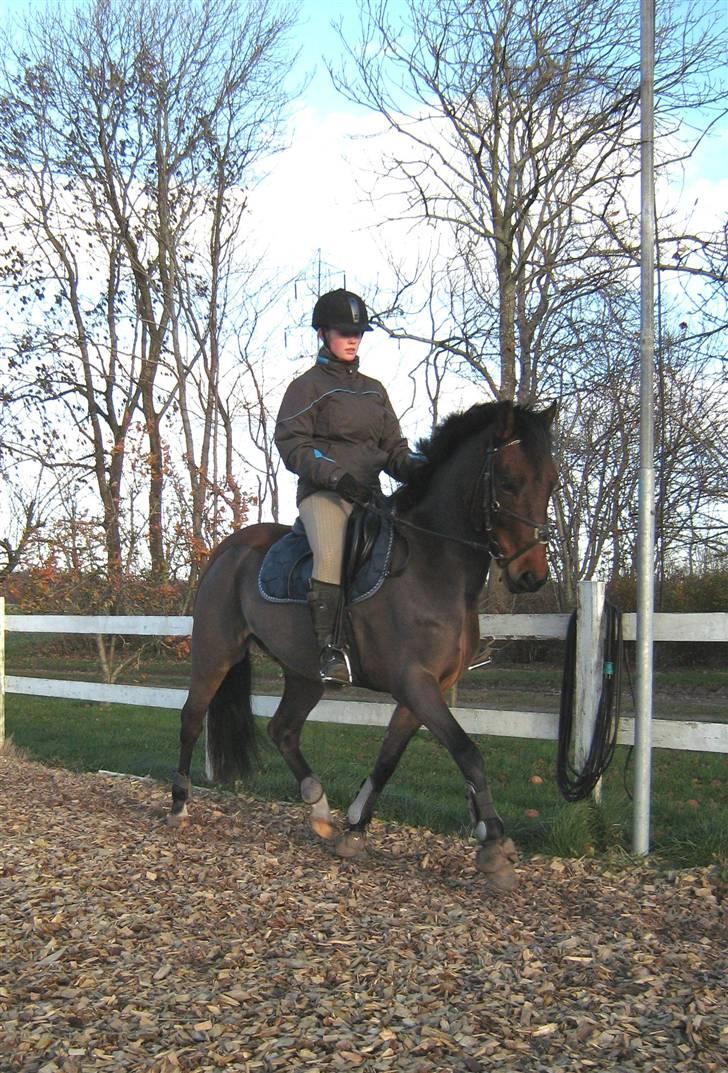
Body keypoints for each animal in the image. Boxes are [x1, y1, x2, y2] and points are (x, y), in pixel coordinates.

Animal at [169, 399, 558, 891]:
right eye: (507, 482)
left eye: (552, 482)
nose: (531, 576)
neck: (433, 565)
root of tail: (227, 549)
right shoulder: (415, 683)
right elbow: (468, 752)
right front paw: (493, 846)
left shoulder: (424, 690)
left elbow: (388, 758)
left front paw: (354, 830)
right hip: (214, 653)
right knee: (191, 719)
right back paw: (179, 804)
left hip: (305, 673)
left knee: (282, 730)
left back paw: (319, 809)